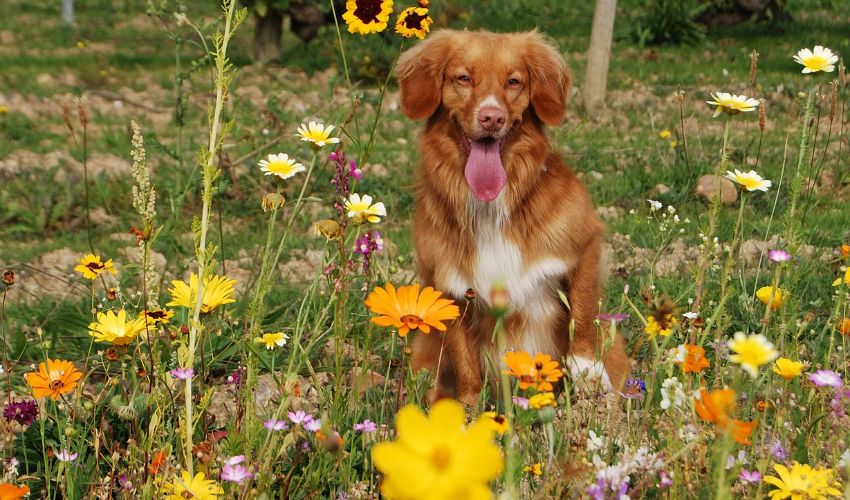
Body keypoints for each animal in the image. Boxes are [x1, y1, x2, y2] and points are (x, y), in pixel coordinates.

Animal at [394, 29, 628, 404]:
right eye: (463, 78)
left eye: (514, 81)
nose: (492, 117)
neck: (491, 206)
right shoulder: (449, 286)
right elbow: (464, 358)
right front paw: (469, 408)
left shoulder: (585, 244)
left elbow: (582, 311)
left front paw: (586, 370)